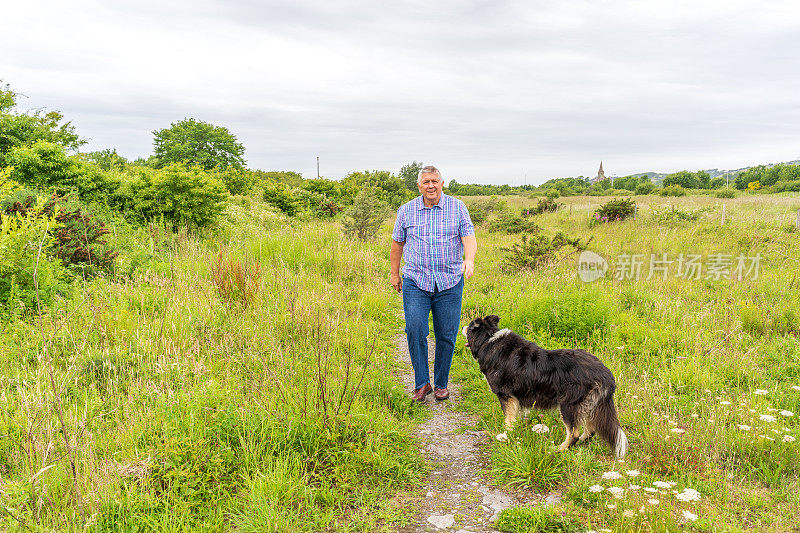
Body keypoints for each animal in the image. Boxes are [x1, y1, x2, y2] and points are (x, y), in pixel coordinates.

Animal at [466, 314, 628, 460]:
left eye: (469, 326)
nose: (462, 327)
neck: (488, 339)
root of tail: (605, 373)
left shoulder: (506, 396)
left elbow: (508, 420)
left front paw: (506, 436)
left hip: (569, 405)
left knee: (573, 433)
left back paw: (557, 449)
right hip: (588, 405)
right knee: (590, 430)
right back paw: (579, 444)